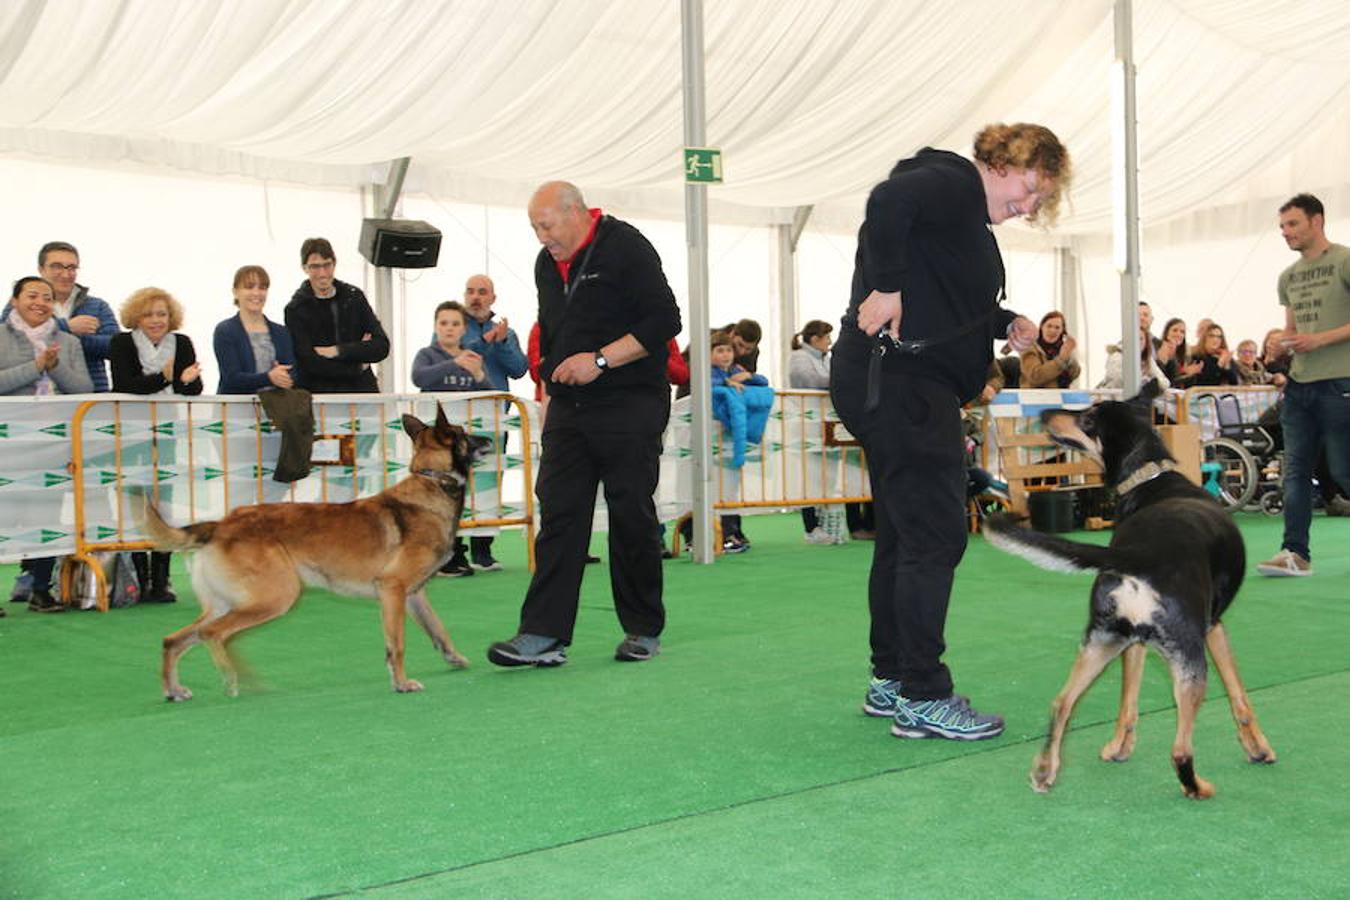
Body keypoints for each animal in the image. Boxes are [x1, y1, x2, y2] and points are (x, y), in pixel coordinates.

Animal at [141, 404, 491, 701]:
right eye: (464, 433)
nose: (490, 438)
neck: (432, 482)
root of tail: (221, 524)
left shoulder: (413, 594)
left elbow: (439, 630)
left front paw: (454, 657)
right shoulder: (393, 590)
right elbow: (397, 645)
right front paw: (402, 683)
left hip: (228, 602)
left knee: (175, 639)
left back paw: (175, 689)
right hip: (275, 597)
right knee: (212, 634)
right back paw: (233, 679)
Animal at [988, 383, 1269, 798]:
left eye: (1089, 418)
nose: (1044, 414)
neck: (1151, 478)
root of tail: (1138, 554)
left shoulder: (1133, 644)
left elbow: (1127, 702)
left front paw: (1119, 747)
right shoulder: (1214, 627)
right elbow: (1239, 695)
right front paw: (1258, 748)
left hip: (1101, 640)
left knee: (1061, 703)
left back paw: (1044, 771)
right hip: (1189, 659)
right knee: (1181, 749)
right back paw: (1196, 786)